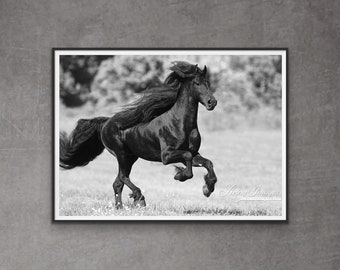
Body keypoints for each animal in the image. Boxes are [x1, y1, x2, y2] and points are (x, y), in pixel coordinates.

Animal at [59, 61, 218, 209]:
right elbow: (188, 158)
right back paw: (139, 198)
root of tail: (105, 124)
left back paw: (120, 207)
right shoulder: (166, 156)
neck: (180, 124)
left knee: (118, 182)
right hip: (121, 154)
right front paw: (180, 175)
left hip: (130, 157)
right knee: (123, 177)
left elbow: (207, 162)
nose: (212, 102)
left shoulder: (193, 153)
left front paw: (208, 188)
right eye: (197, 83)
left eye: (208, 83)